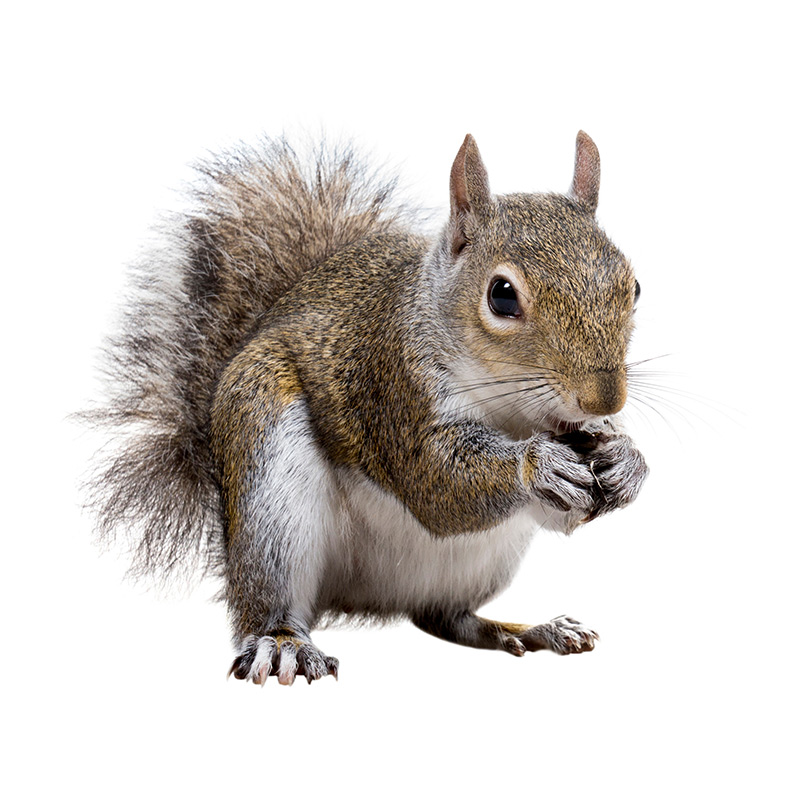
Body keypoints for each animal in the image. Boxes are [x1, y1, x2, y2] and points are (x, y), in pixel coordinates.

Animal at [87, 131, 648, 685]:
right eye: (502, 296)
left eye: (635, 287)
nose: (604, 398)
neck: (510, 407)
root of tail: (363, 598)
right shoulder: (393, 387)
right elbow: (438, 484)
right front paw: (538, 463)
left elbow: (565, 514)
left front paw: (627, 461)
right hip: (268, 480)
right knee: (270, 600)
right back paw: (283, 643)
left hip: (484, 561)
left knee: (445, 617)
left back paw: (528, 629)